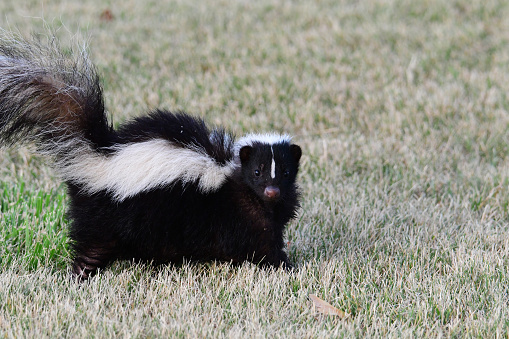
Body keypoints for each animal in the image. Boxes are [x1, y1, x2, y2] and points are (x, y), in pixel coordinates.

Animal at [0, 32, 302, 282]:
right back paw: (78, 277)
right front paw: (287, 268)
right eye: (257, 172)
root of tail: (98, 154)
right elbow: (262, 244)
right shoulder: (239, 214)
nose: (272, 191)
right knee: (92, 248)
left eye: (286, 172)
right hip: (107, 215)